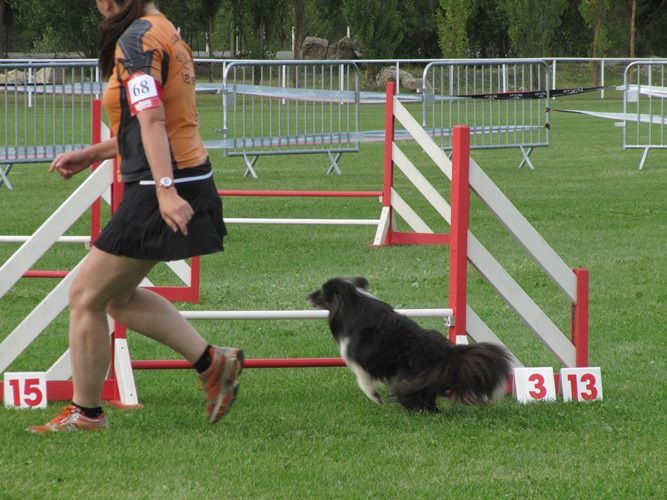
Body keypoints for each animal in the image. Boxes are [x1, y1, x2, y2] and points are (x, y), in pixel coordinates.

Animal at [308, 276, 512, 412]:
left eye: (322, 290)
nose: (307, 296)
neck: (352, 301)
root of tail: (446, 352)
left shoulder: (357, 358)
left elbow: (363, 380)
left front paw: (376, 397)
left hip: (406, 378)